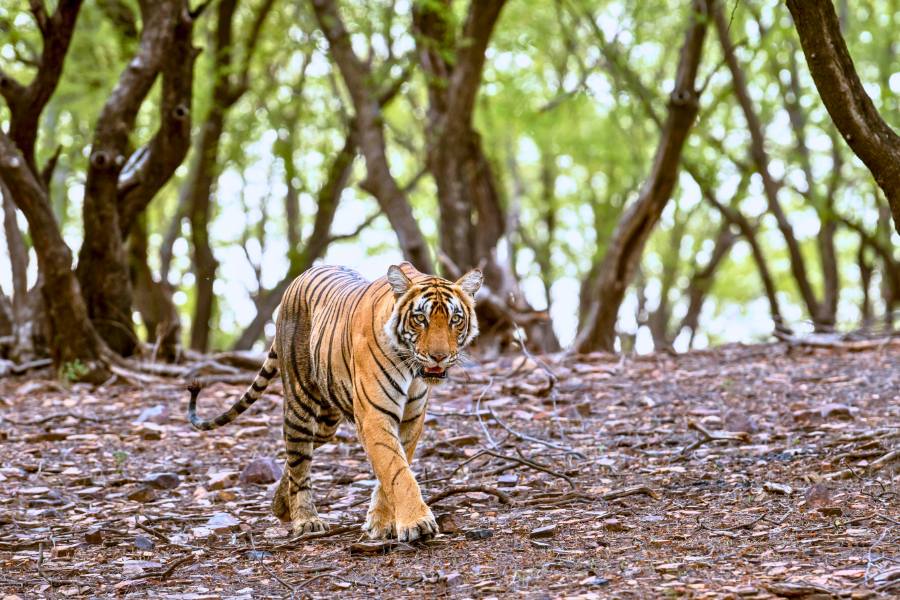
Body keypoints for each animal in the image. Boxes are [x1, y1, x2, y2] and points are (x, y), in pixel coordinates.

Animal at [187, 262, 482, 542]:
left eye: (455, 319)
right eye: (420, 318)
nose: (439, 357)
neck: (411, 368)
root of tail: (300, 277)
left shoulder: (411, 418)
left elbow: (393, 469)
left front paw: (380, 523)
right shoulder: (375, 415)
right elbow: (397, 471)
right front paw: (416, 524)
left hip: (327, 422)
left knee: (296, 459)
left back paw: (281, 506)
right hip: (300, 404)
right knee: (298, 463)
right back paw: (305, 520)